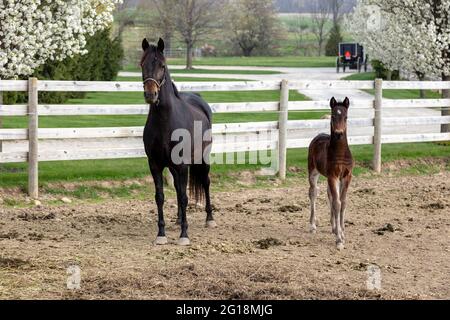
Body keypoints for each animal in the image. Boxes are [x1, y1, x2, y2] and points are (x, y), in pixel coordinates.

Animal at [142, 38, 216, 246]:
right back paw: (178, 219)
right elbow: (160, 196)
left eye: (162, 65)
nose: (150, 94)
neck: (165, 121)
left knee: (205, 182)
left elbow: (184, 197)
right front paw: (161, 234)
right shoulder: (155, 165)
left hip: (202, 159)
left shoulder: (182, 165)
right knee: (177, 188)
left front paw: (184, 235)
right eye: (142, 64)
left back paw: (209, 219)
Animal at [308, 97, 354, 250]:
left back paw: (334, 227)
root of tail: (318, 135)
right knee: (313, 193)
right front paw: (339, 240)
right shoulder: (333, 176)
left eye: (346, 117)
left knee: (330, 195)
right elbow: (337, 203)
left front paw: (342, 233)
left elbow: (343, 202)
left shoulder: (346, 176)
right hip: (313, 171)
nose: (339, 133)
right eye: (333, 116)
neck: (340, 153)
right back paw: (312, 226)